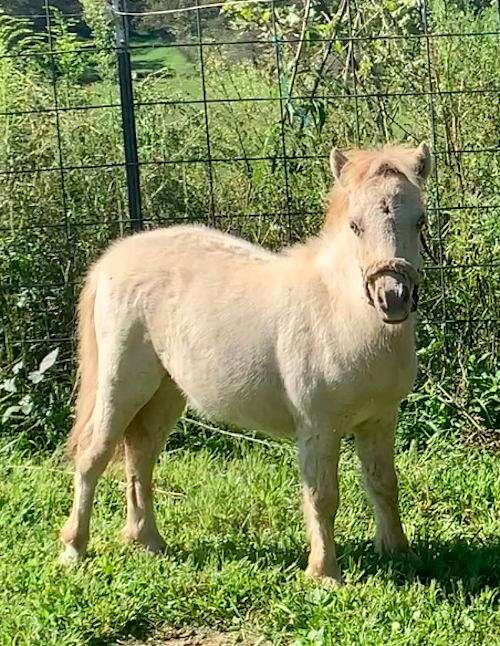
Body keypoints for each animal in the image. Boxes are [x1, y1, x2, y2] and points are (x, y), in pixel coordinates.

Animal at [60, 143, 432, 584]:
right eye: (355, 225)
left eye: (420, 221)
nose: (392, 297)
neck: (340, 311)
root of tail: (114, 256)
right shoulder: (318, 428)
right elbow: (322, 497)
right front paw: (324, 573)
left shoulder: (379, 419)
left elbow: (383, 483)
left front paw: (401, 553)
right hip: (122, 384)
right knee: (93, 454)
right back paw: (74, 550)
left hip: (166, 391)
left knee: (141, 453)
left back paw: (147, 541)